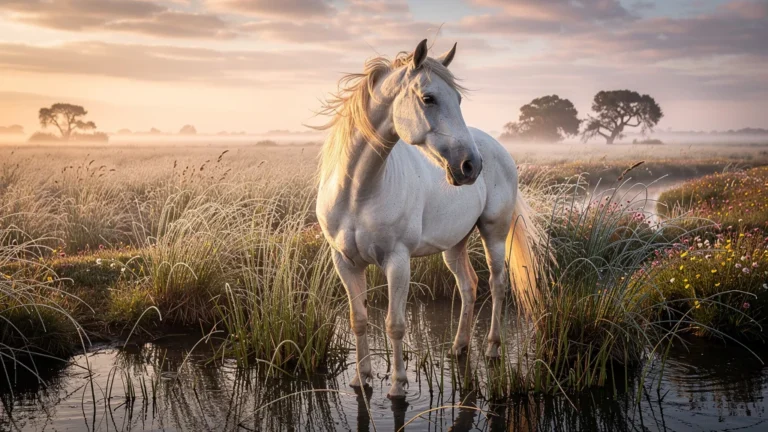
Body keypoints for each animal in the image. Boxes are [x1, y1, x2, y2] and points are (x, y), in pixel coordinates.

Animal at [315, 39, 541, 399]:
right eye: (428, 98)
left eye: (458, 99)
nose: (470, 166)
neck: (357, 193)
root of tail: (497, 149)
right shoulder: (345, 261)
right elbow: (358, 318)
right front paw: (361, 379)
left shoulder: (397, 261)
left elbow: (394, 324)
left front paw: (398, 385)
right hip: (455, 244)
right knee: (468, 285)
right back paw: (459, 347)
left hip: (493, 233)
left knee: (497, 283)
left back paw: (492, 348)